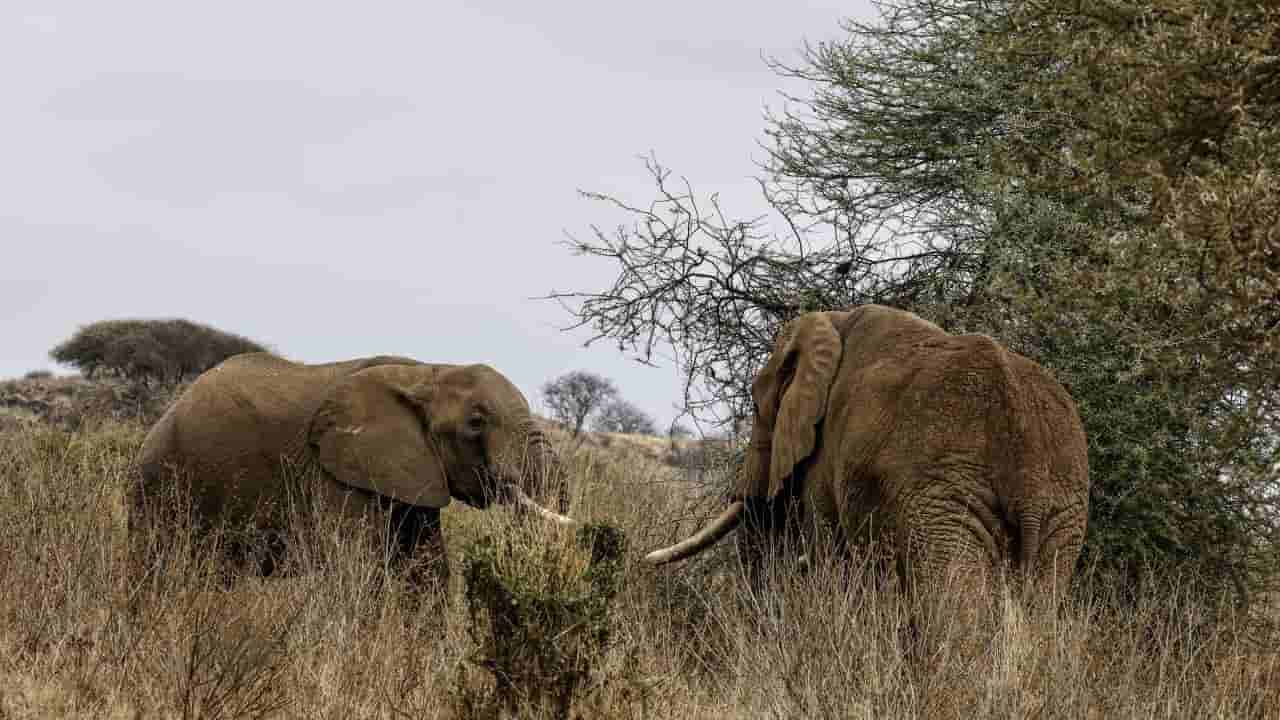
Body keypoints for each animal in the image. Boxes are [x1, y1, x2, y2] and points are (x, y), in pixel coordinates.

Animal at [133, 353, 575, 592]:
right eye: (476, 423)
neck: (426, 372)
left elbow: (428, 573)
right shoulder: (336, 475)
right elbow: (357, 568)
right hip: (161, 483)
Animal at [645, 305, 1089, 602]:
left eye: (755, 408)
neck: (833, 323)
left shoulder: (826, 460)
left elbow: (828, 555)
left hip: (944, 501)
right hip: (1062, 508)